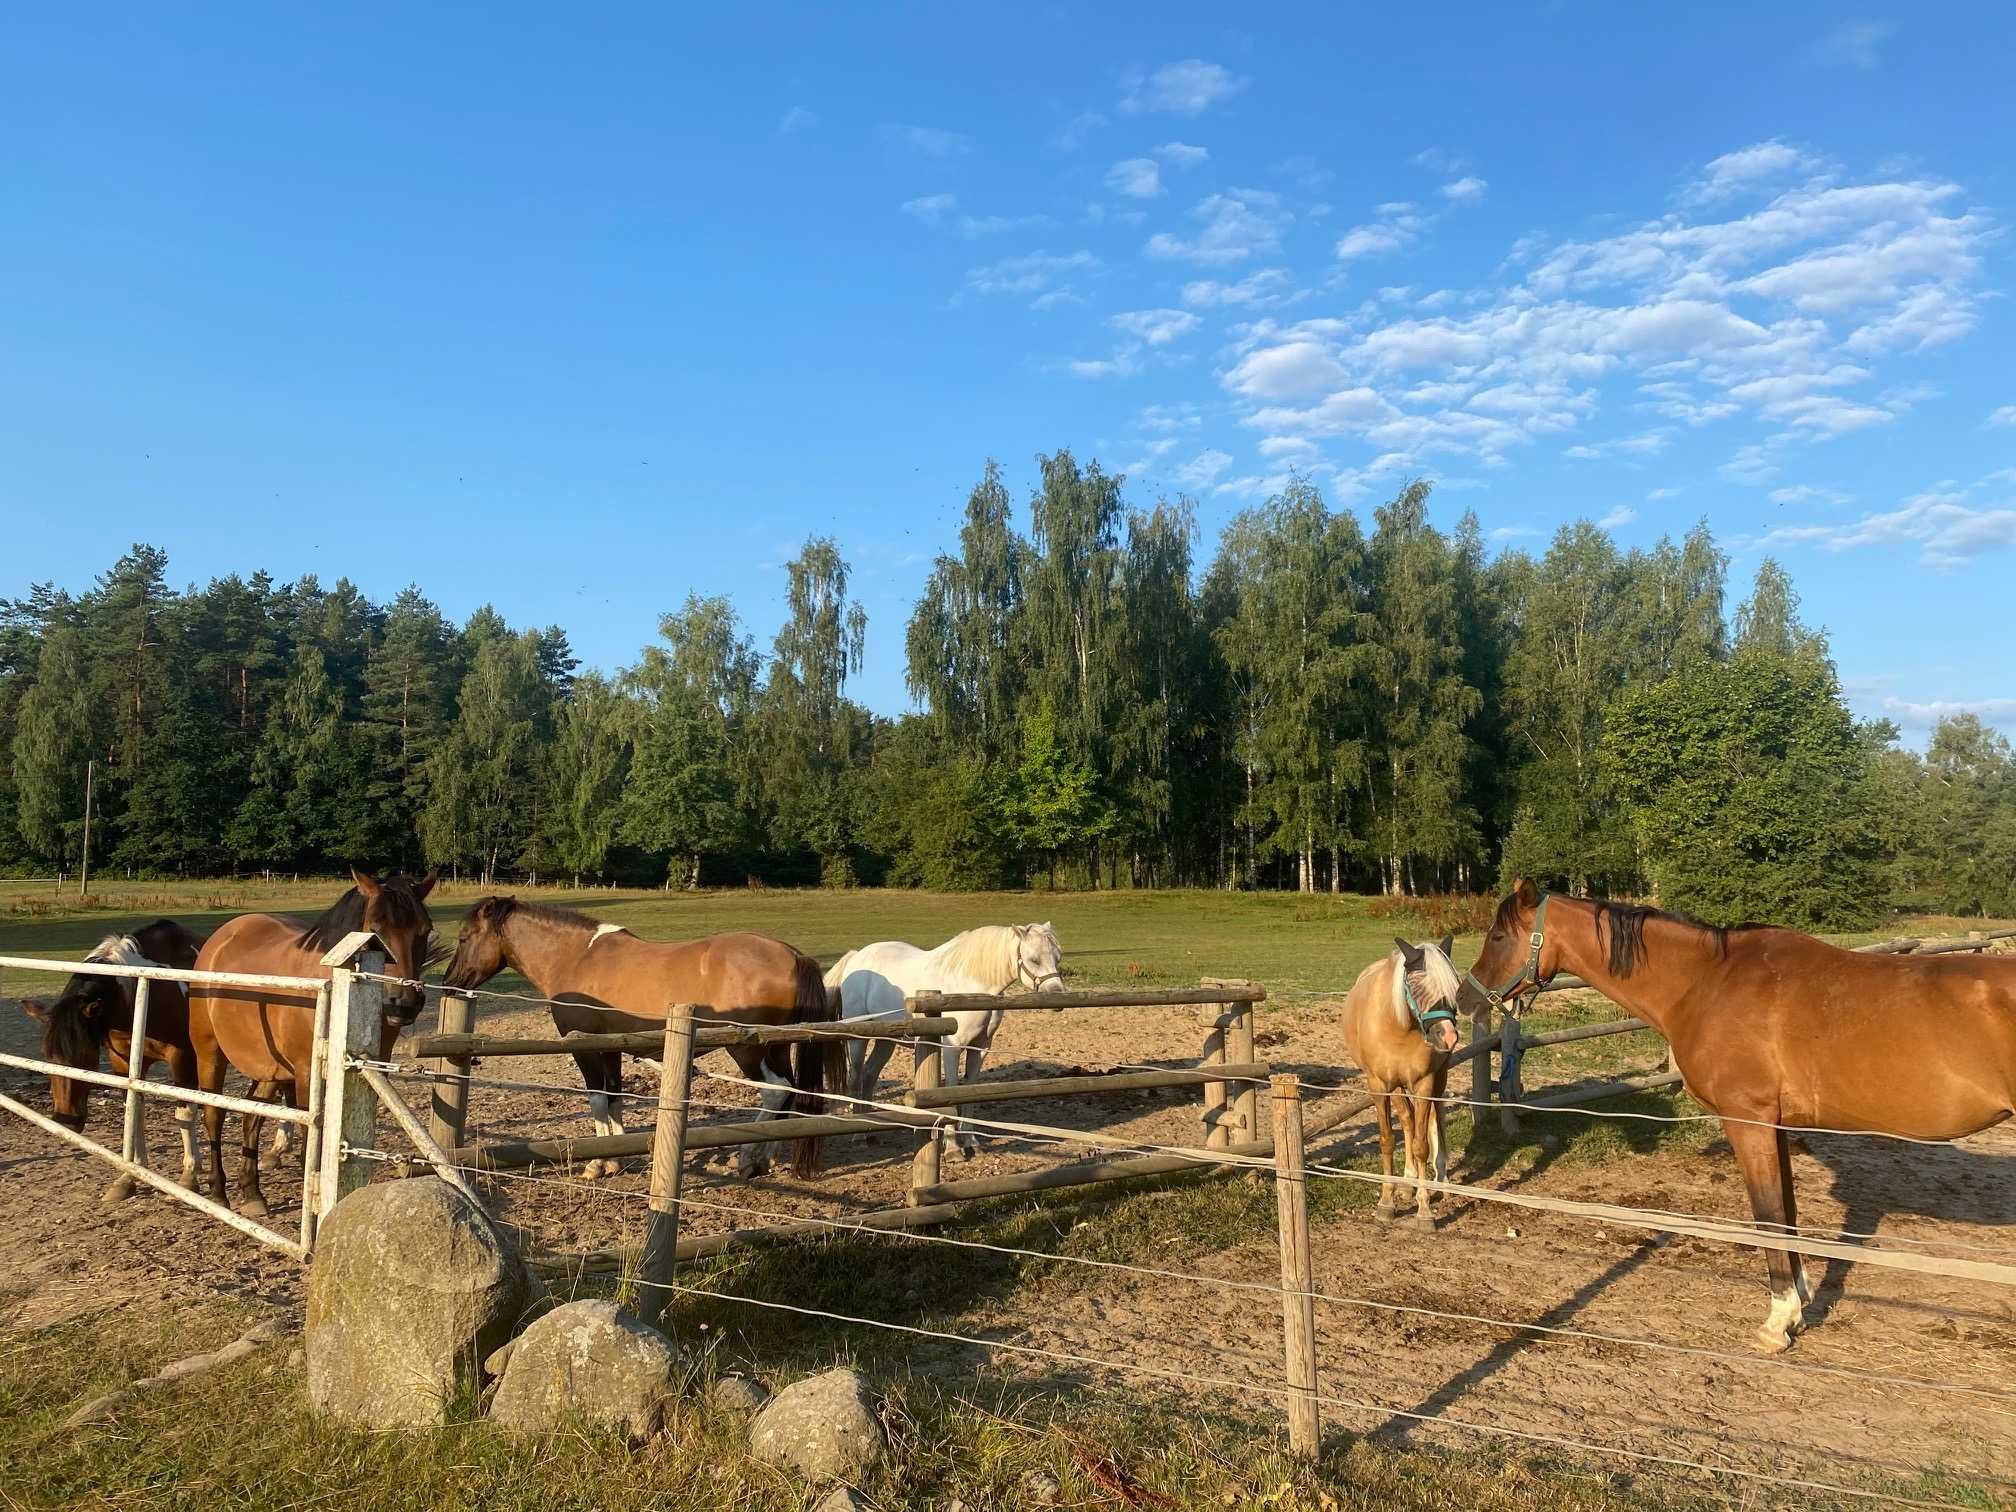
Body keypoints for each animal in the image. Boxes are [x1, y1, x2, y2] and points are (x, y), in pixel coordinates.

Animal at [189, 874, 437, 1217]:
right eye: (375, 931)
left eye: (424, 930)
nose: (405, 1001)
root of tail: (218, 940)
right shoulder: (307, 1077)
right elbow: (312, 1141)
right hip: (210, 1053)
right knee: (214, 1114)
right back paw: (217, 1193)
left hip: (271, 1069)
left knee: (252, 1117)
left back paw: (253, 1194)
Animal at [441, 899, 842, 1185]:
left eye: (463, 938)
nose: (449, 983)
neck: (577, 957)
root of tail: (793, 955)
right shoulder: (611, 1047)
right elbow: (614, 1096)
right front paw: (614, 1156)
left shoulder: (585, 1047)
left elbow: (597, 1098)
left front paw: (597, 1163)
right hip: (777, 1047)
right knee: (788, 1093)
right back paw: (766, 1156)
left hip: (748, 1049)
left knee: (775, 1091)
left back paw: (748, 1158)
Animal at [822, 923, 1072, 1161]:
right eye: (1034, 959)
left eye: (1058, 957)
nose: (1058, 997)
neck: (971, 984)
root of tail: (856, 957)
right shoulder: (952, 1047)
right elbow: (951, 1090)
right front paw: (952, 1149)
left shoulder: (980, 1048)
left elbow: (970, 1090)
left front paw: (972, 1143)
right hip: (858, 1040)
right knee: (855, 1078)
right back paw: (858, 1135)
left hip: (887, 1040)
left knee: (869, 1075)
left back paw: (872, 1130)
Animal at [1338, 935, 1467, 1233]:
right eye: (1418, 986)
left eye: (1453, 986)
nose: (1448, 1036)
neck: (1398, 1025)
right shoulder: (1379, 1085)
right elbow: (1387, 1140)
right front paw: (1387, 1203)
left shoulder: (1424, 1084)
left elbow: (1421, 1145)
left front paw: (1424, 1210)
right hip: (1397, 1087)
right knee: (1407, 1120)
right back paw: (1407, 1182)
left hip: (1437, 1079)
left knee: (1435, 1119)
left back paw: (1440, 1179)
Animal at [1459, 883, 2016, 1354]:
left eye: (1499, 935)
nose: (1466, 998)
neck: (1707, 982)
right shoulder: (1778, 1127)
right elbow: (1787, 1214)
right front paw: (1797, 1308)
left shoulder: (1750, 1123)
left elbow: (1767, 1216)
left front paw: (1777, 1323)